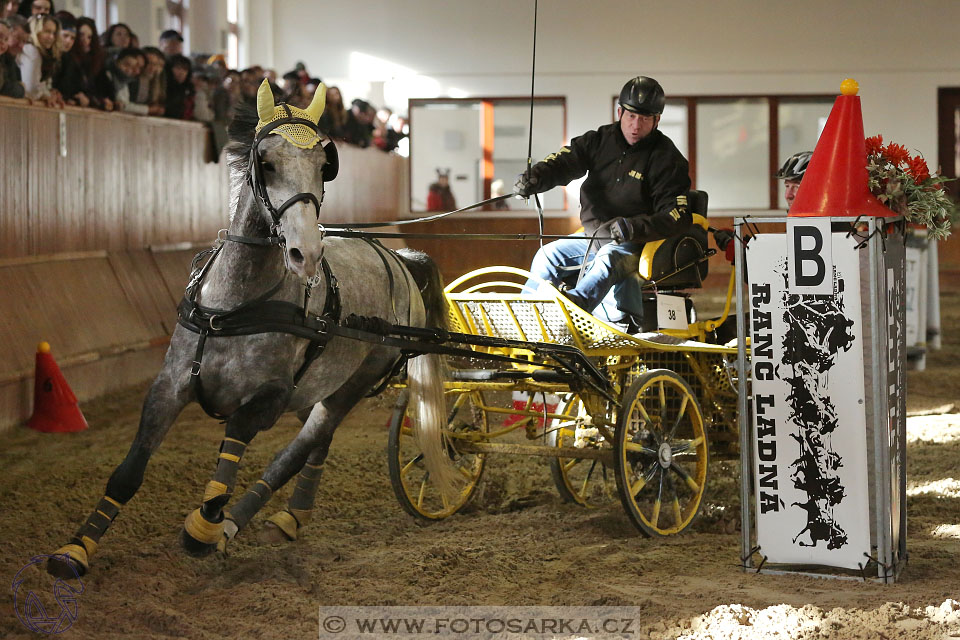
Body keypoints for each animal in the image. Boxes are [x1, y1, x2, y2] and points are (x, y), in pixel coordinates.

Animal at [50, 80, 456, 580]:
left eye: (324, 166)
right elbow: (128, 472)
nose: (306, 253)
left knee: (302, 445)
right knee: (319, 441)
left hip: (355, 382)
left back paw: (235, 523)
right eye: (267, 162)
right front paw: (76, 549)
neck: (234, 306)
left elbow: (236, 441)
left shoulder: (270, 396)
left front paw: (204, 528)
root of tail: (398, 258)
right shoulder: (169, 384)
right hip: (320, 387)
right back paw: (289, 517)